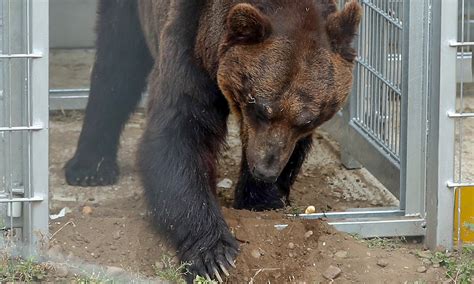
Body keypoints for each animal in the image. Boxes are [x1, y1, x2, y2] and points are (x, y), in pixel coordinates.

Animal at [63, 0, 360, 280]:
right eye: (259, 107)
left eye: (307, 120)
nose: (265, 170)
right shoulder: (189, 41)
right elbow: (180, 134)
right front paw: (214, 256)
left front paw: (262, 199)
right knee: (116, 64)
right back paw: (89, 167)